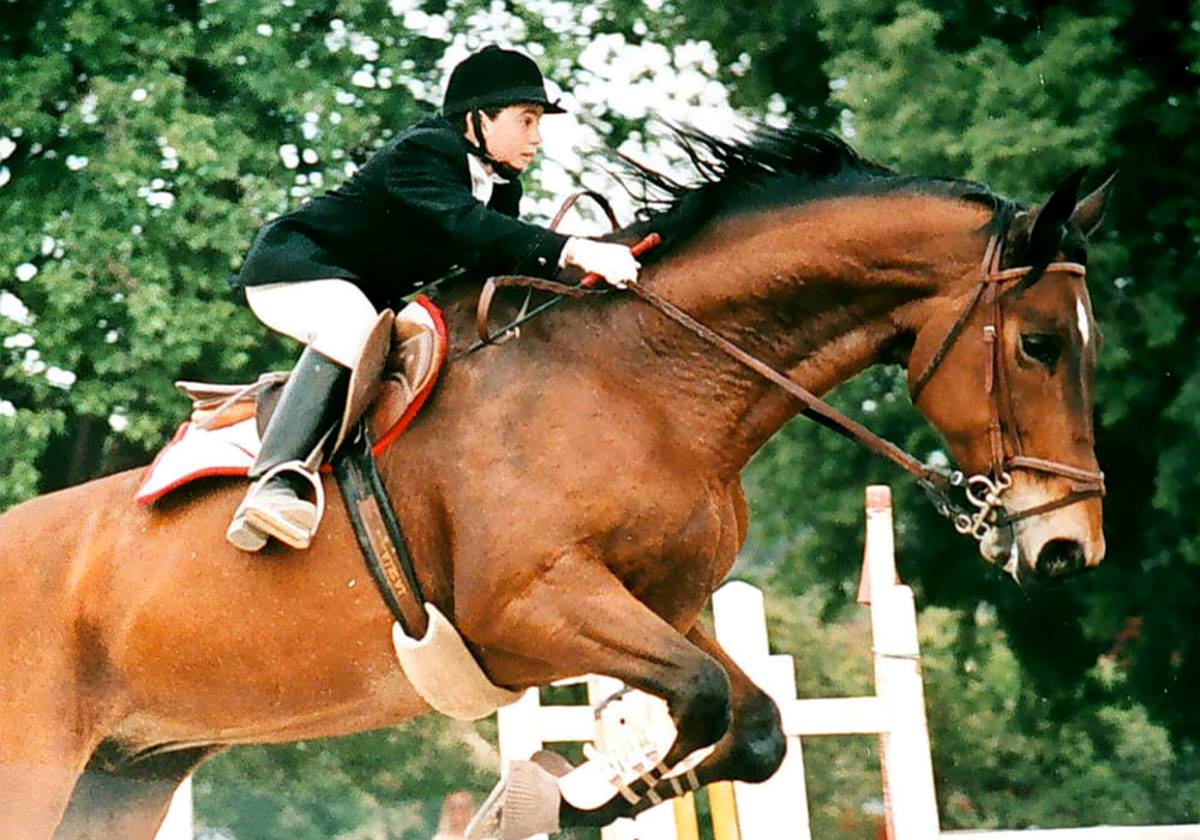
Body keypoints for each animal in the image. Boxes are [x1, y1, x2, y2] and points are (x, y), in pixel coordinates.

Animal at [0, 126, 1113, 840]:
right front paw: (563, 796)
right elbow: (703, 698)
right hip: (43, 772)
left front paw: (579, 796)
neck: (648, 379)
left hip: (123, 777)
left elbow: (747, 724)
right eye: (1040, 345)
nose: (1069, 548)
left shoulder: (663, 604)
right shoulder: (528, 609)